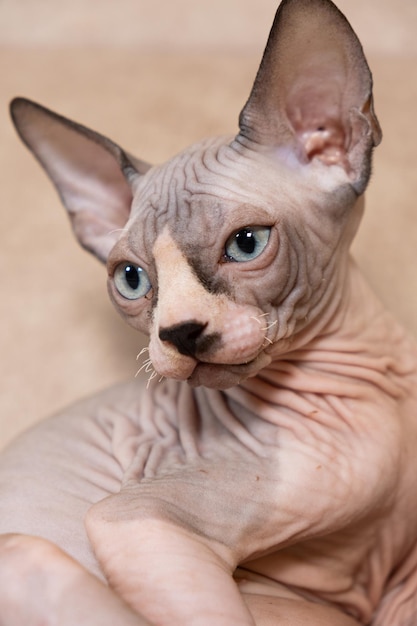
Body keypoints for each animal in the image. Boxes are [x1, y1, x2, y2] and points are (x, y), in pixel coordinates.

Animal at [0, 0, 416, 620]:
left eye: (246, 244)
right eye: (132, 279)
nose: (180, 334)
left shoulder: (400, 573)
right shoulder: (133, 517)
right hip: (24, 553)